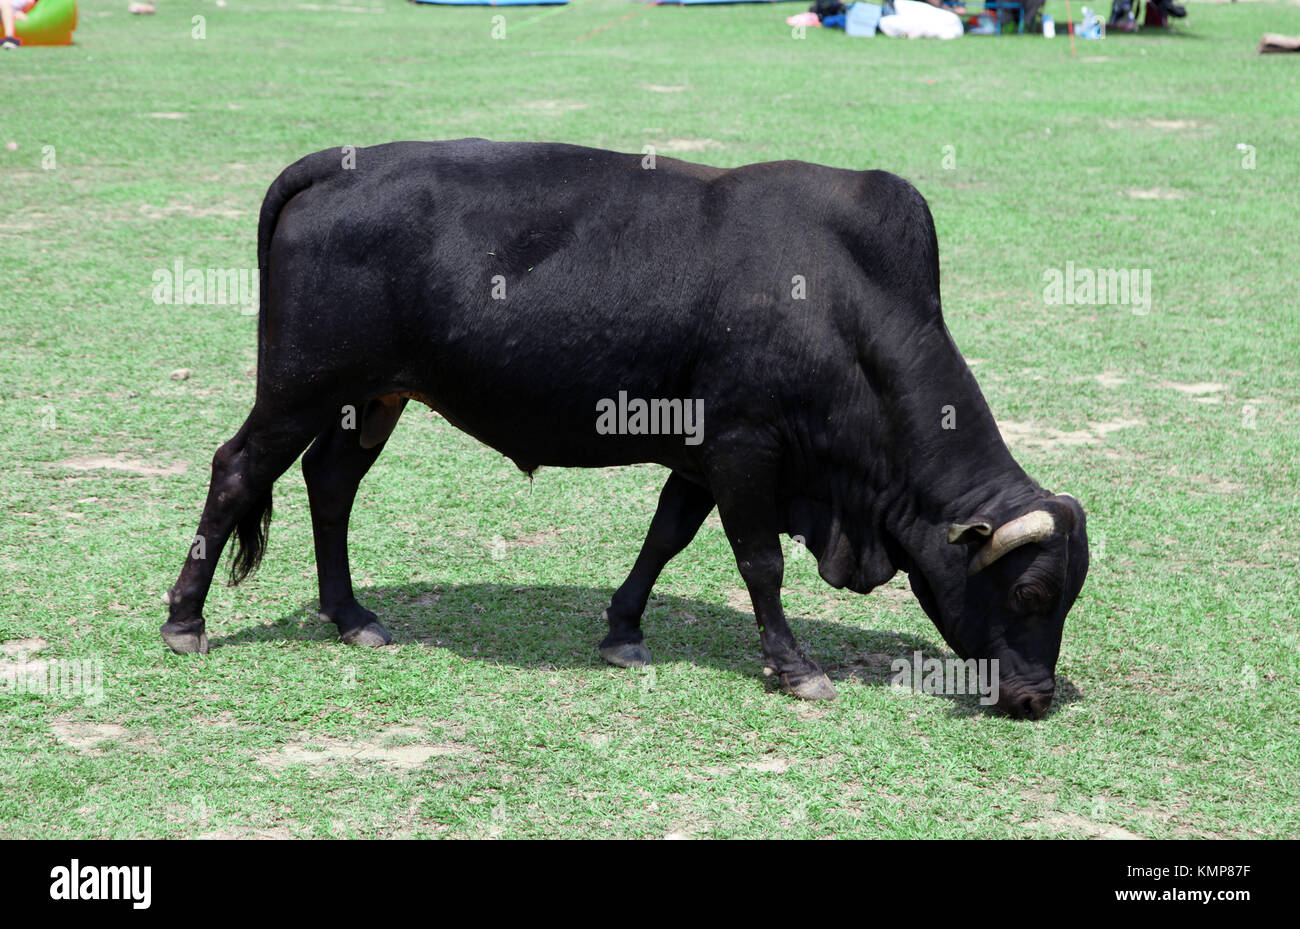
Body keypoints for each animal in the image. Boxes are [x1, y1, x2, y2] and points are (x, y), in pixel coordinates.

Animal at [167, 138, 1092, 717]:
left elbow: (666, 535)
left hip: (371, 398)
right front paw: (794, 667)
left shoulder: (702, 451)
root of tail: (337, 165)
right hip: (299, 390)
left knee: (330, 484)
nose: (1035, 698)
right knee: (237, 469)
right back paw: (185, 619)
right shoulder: (746, 447)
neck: (842, 299)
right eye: (1031, 592)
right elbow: (759, 563)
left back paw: (349, 612)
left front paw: (622, 629)